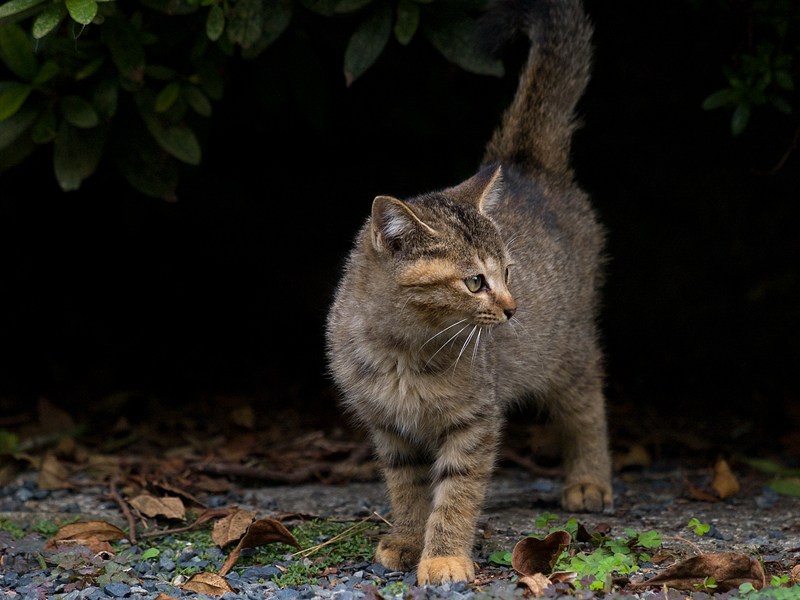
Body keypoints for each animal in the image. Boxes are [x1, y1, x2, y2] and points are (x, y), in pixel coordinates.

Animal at [324, 0, 612, 584]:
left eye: (508, 272)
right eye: (475, 281)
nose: (512, 308)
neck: (405, 353)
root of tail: (526, 161)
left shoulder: (474, 423)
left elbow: (455, 494)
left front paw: (444, 556)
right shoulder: (389, 430)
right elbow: (408, 491)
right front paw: (407, 540)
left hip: (566, 348)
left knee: (587, 403)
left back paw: (589, 480)